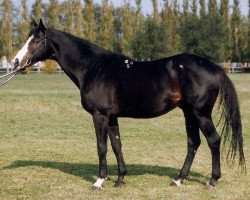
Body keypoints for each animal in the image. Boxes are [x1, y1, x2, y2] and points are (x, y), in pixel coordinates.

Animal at [12, 19, 245, 189]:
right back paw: (179, 179)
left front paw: (99, 181)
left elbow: (102, 147)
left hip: (200, 113)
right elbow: (116, 145)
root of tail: (215, 67)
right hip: (189, 113)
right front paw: (120, 179)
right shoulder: (112, 117)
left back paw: (212, 181)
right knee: (193, 143)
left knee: (213, 141)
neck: (93, 67)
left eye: (35, 41)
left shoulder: (100, 115)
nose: (15, 62)